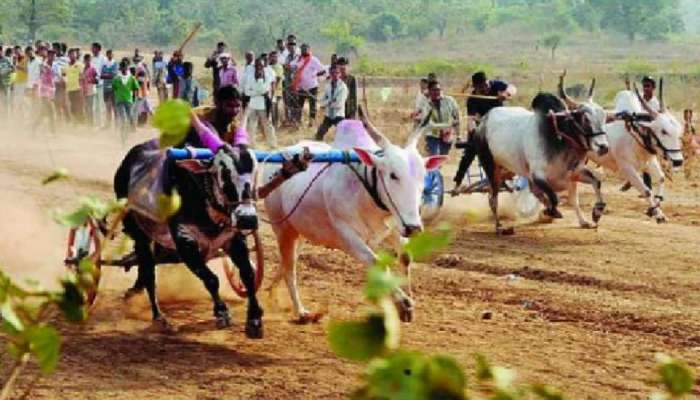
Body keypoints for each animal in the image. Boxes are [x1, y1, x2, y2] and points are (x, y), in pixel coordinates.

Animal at [572, 78, 680, 222]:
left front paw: (655, 211)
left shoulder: (649, 163)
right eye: (663, 131)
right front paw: (657, 213)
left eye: (678, 130)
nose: (678, 161)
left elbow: (661, 178)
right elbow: (646, 190)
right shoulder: (626, 168)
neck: (635, 137)